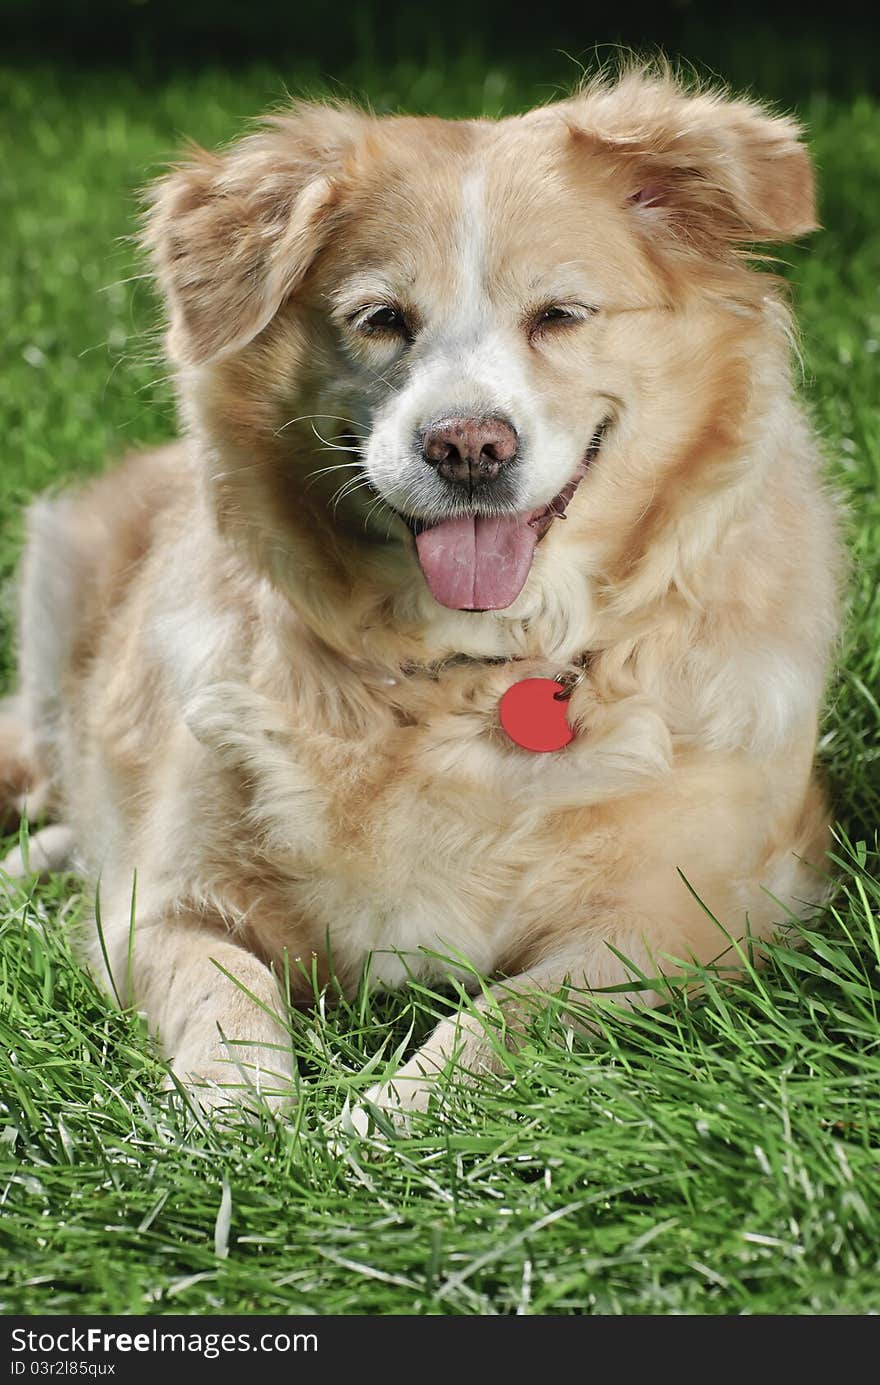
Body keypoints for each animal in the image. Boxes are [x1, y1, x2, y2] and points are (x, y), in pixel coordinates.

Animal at [0, 67, 842, 1124]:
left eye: (560, 315)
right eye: (381, 318)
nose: (468, 446)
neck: (474, 670)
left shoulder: (689, 923)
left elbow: (507, 1015)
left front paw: (379, 1119)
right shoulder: (161, 906)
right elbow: (226, 997)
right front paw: (242, 1125)